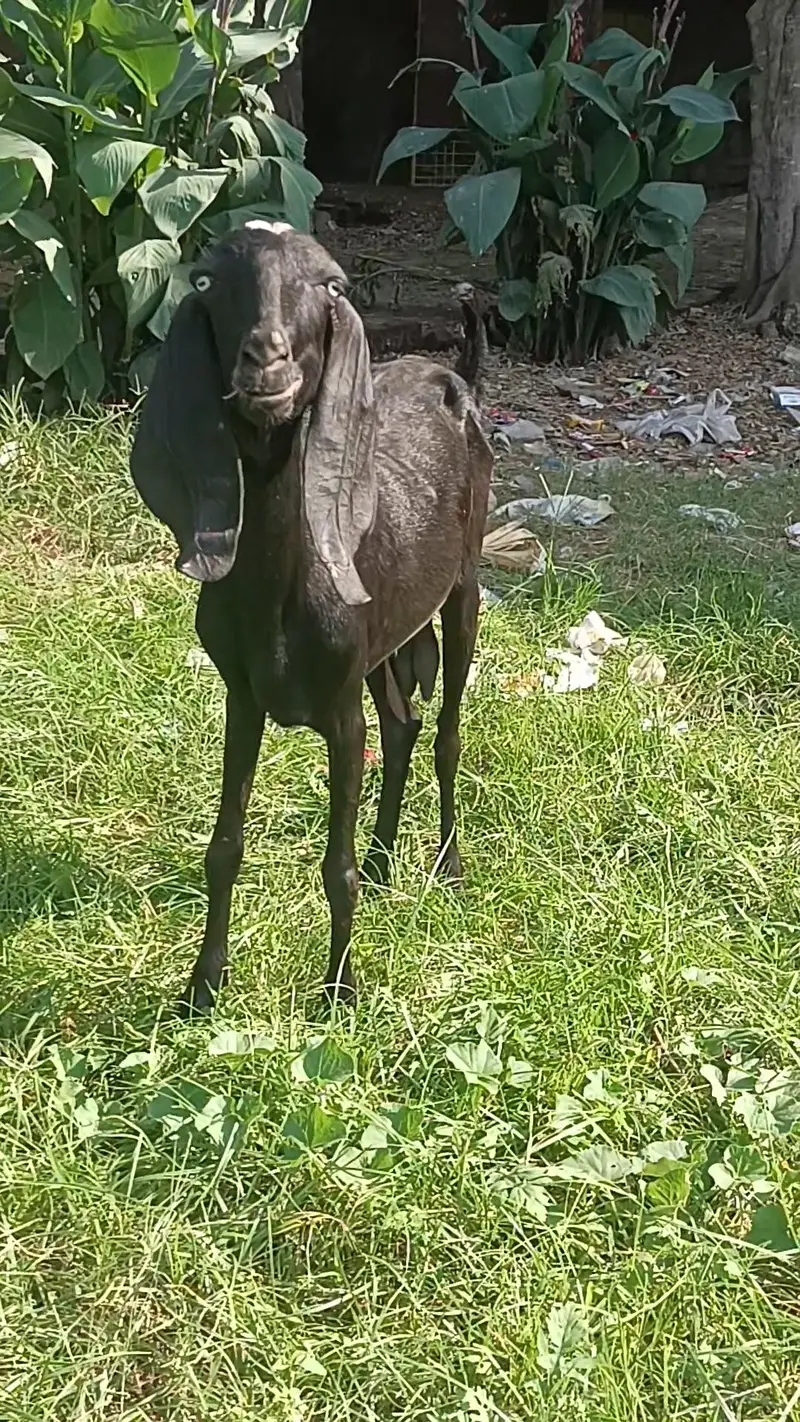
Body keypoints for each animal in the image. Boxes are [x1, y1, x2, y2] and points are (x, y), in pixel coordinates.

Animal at [130, 221, 492, 1013]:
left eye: (332, 285)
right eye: (207, 280)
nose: (264, 358)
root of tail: (453, 377)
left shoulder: (339, 708)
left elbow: (336, 865)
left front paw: (339, 991)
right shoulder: (243, 697)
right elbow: (224, 847)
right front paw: (202, 988)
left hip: (464, 587)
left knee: (444, 732)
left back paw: (447, 866)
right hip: (386, 636)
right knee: (403, 725)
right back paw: (388, 860)